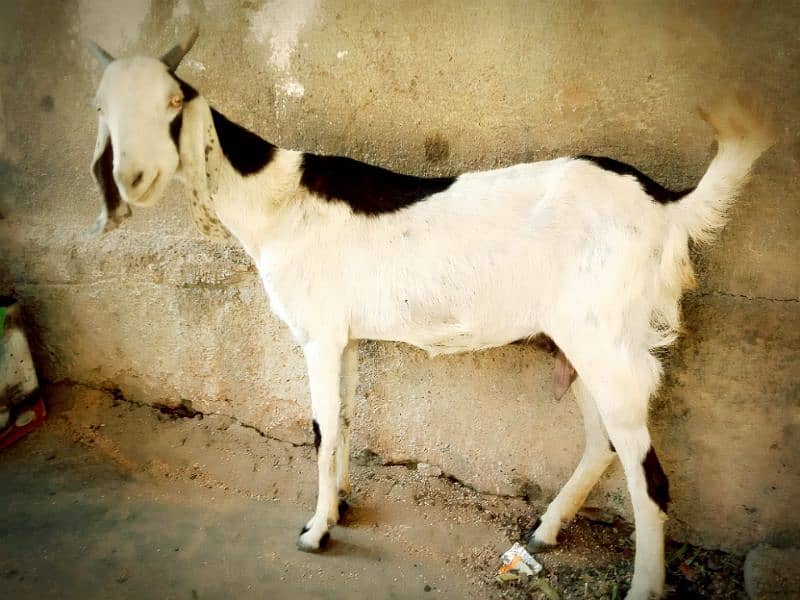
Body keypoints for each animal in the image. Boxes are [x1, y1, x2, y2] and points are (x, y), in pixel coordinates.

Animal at [89, 32, 776, 600]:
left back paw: (640, 587)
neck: (274, 201)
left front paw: (316, 530)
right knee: (603, 442)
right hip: (580, 342)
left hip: (605, 338)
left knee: (648, 475)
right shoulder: (347, 339)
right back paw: (547, 529)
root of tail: (667, 204)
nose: (133, 176)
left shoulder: (318, 334)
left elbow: (320, 430)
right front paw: (341, 506)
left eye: (173, 103)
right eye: (101, 108)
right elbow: (343, 422)